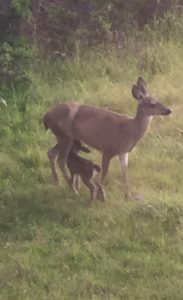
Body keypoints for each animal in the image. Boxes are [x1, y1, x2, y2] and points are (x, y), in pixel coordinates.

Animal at [43, 77, 172, 199]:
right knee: (61, 159)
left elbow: (124, 173)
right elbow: (104, 173)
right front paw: (101, 196)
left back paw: (58, 183)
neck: (130, 130)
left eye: (159, 99)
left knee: (51, 153)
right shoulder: (107, 149)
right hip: (65, 136)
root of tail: (46, 116)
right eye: (152, 103)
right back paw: (74, 190)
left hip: (63, 136)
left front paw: (128, 196)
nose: (168, 110)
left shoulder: (123, 152)